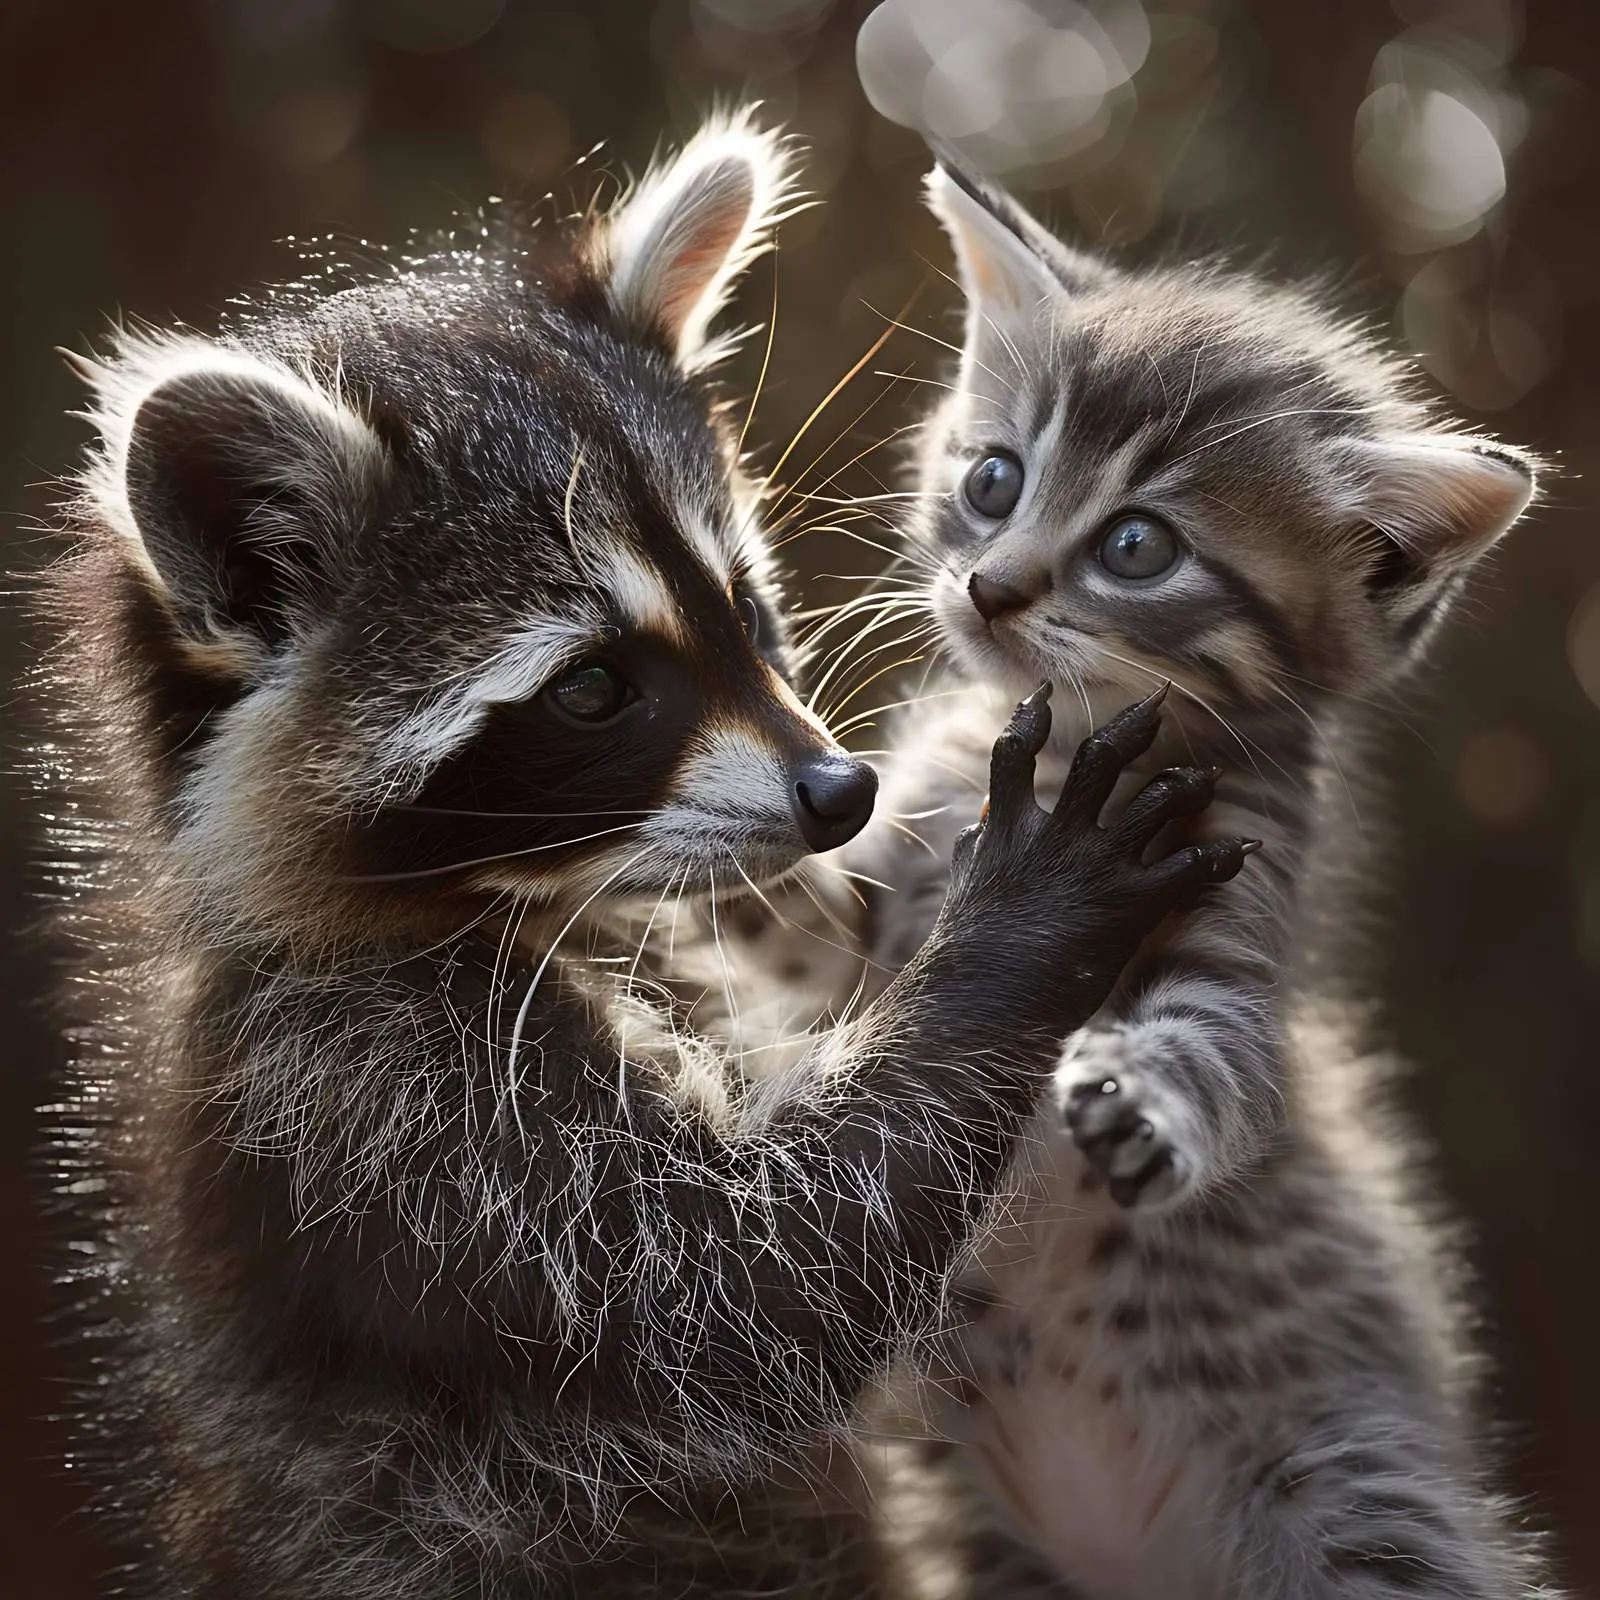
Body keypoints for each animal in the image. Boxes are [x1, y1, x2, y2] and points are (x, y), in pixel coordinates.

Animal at [36, 114, 1250, 1600]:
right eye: (595, 689)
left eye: (745, 608)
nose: (839, 794)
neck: (550, 900)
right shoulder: (372, 1114)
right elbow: (747, 1286)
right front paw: (1021, 932)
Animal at [724, 155, 1555, 1598]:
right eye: (994, 477)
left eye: (1136, 549)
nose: (990, 589)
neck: (1062, 756)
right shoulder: (854, 944)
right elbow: (788, 909)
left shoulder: (1242, 906)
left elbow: (1214, 1047)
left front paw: (1142, 1102)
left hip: (1359, 1502)